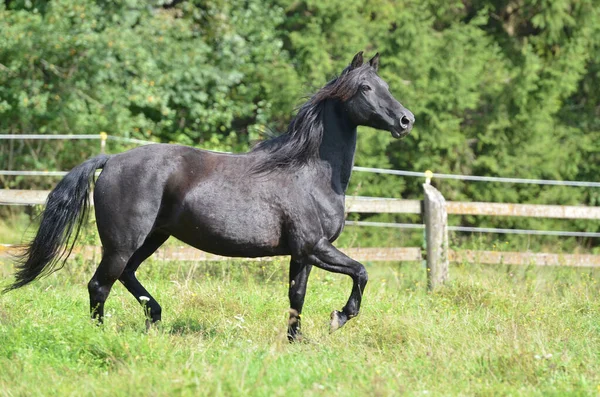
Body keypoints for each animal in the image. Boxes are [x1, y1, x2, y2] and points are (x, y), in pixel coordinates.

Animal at [4, 51, 414, 338]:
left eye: (388, 87)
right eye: (365, 88)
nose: (406, 120)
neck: (309, 172)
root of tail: (112, 160)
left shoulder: (302, 254)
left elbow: (296, 297)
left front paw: (297, 341)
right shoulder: (315, 246)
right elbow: (361, 272)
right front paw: (339, 317)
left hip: (153, 237)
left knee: (126, 276)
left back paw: (154, 316)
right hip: (123, 242)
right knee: (100, 284)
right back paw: (102, 336)